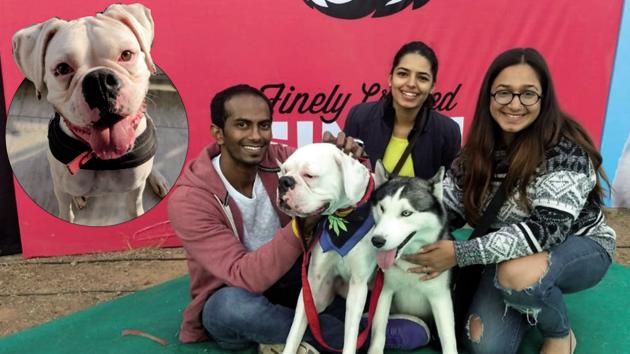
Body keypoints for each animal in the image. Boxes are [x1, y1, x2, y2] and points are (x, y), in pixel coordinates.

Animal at [12, 3, 170, 224]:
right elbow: (65, 213)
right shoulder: (61, 191)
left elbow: (135, 209)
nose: (99, 80)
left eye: (126, 55)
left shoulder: (135, 190)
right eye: (62, 68)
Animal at [370, 168, 460, 354]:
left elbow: (448, 339)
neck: (409, 266)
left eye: (406, 213)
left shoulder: (441, 299)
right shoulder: (384, 291)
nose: (377, 241)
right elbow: (379, 330)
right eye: (382, 208)